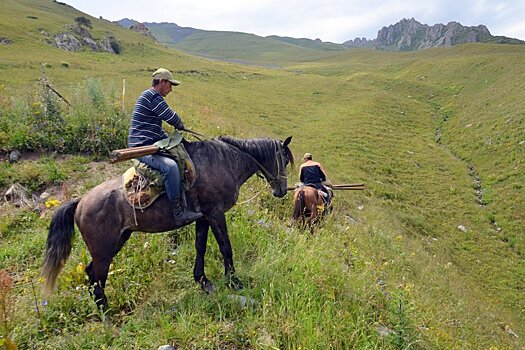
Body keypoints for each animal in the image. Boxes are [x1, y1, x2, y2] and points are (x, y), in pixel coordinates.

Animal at [43, 136, 292, 308]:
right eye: (283, 160)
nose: (281, 190)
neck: (225, 161)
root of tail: (80, 201)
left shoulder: (204, 217)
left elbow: (200, 247)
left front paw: (202, 280)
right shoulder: (216, 214)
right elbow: (225, 247)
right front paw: (233, 281)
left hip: (116, 242)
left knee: (91, 272)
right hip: (104, 250)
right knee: (97, 277)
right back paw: (105, 312)